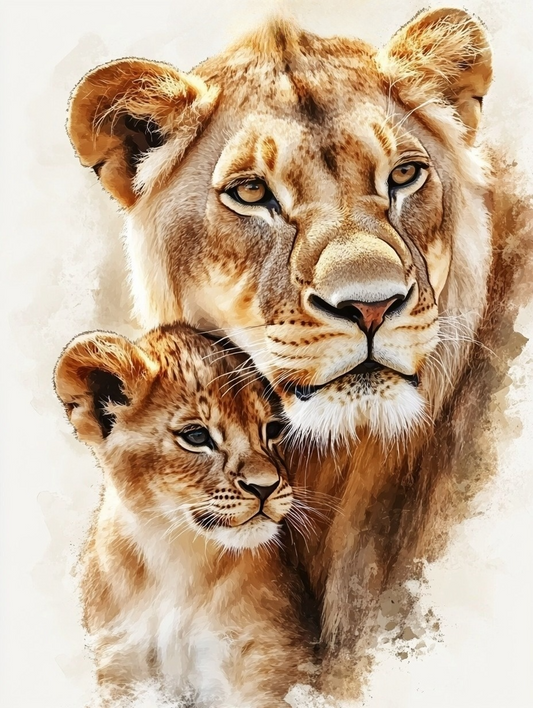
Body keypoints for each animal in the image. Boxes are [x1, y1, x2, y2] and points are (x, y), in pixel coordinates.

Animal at [54, 324, 318, 707]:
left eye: (272, 430)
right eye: (196, 436)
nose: (266, 487)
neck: (175, 560)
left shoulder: (267, 656)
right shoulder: (118, 657)